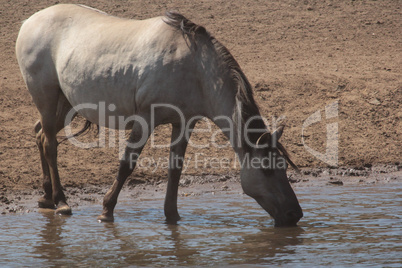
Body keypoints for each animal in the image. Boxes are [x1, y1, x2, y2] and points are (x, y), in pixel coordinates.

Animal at [17, 3, 304, 226]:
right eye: (267, 169)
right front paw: (107, 210)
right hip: (46, 97)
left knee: (41, 134)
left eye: (283, 167)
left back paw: (47, 197)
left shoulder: (185, 122)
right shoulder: (146, 119)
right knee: (50, 144)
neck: (194, 69)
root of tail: (30, 21)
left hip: (66, 101)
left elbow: (175, 168)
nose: (295, 214)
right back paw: (61, 201)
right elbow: (127, 163)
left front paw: (172, 216)